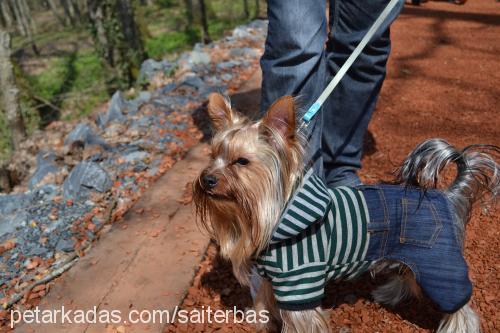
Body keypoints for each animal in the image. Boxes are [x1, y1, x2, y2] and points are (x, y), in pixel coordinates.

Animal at [193, 93, 498, 332]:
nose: (207, 179)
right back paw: (388, 293)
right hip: (414, 256)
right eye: (213, 155)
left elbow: (301, 320)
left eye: (241, 162)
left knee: (460, 306)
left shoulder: (299, 282)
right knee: (408, 275)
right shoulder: (272, 278)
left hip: (440, 264)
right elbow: (263, 300)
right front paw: (259, 321)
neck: (276, 213)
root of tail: (448, 194)